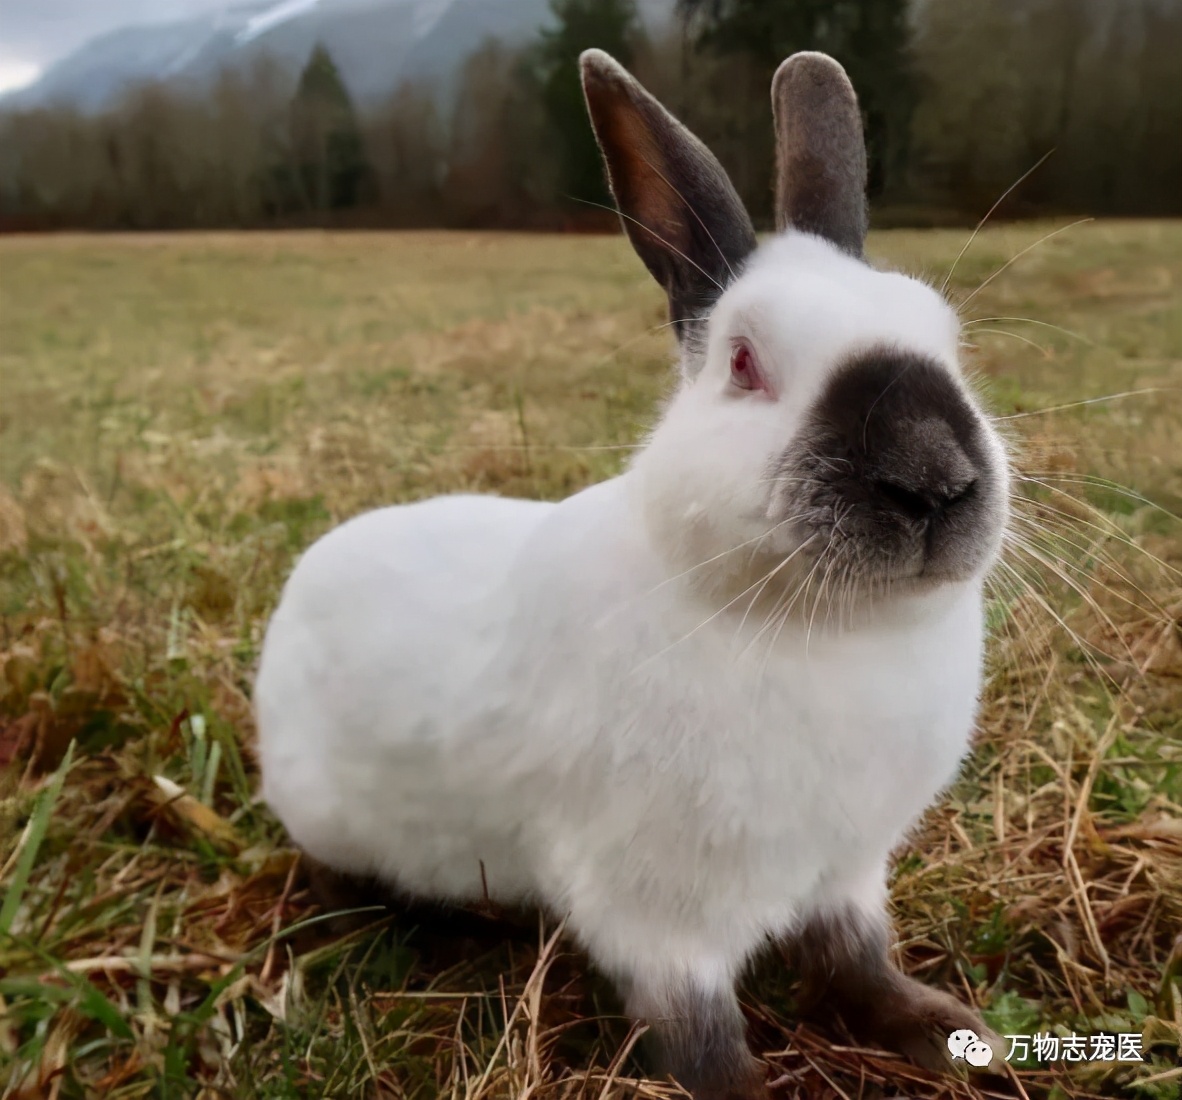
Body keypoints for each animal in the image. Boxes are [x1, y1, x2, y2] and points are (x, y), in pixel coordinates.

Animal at [254, 49, 1011, 1100]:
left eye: (947, 339)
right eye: (744, 362)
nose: (934, 480)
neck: (826, 626)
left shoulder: (846, 874)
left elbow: (856, 964)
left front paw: (945, 1032)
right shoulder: (658, 918)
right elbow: (699, 1037)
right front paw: (750, 1092)